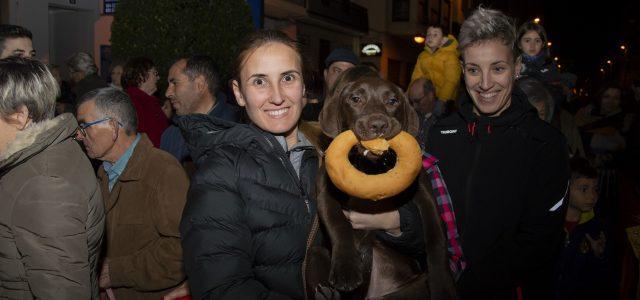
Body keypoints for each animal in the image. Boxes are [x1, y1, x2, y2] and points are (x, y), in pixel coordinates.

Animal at [304, 67, 456, 298]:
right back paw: (328, 293)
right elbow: (339, 224)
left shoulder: (425, 194)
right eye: (355, 99)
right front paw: (346, 268)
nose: (378, 124)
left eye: (392, 101)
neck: (371, 166)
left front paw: (443, 284)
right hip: (314, 252)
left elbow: (436, 238)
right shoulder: (325, 192)